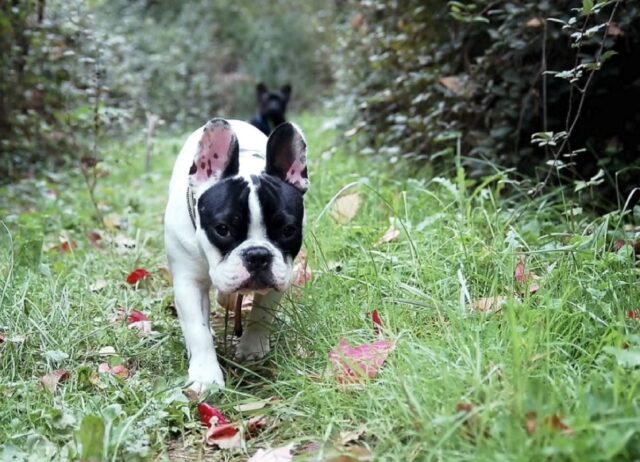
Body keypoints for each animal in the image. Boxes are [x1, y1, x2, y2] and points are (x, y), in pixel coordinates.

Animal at [164, 117, 306, 392]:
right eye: (223, 229)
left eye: (288, 230)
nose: (258, 255)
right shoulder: (188, 282)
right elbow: (197, 330)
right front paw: (205, 376)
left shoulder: (281, 275)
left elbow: (262, 314)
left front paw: (252, 347)